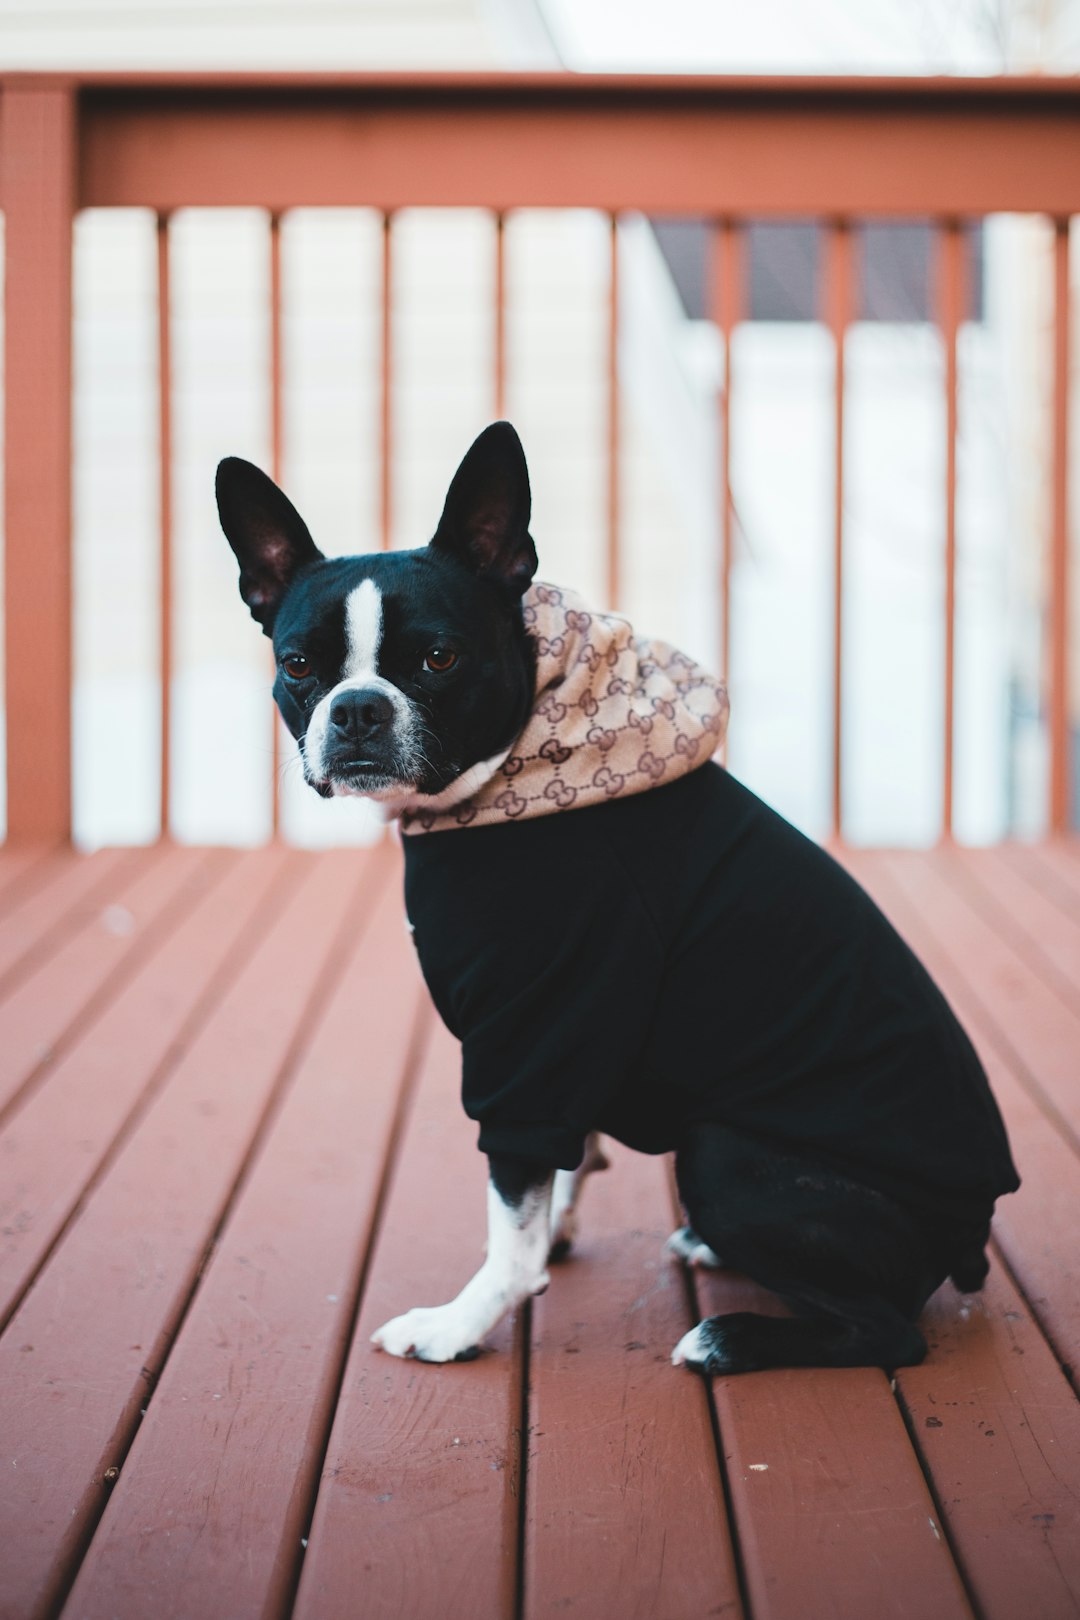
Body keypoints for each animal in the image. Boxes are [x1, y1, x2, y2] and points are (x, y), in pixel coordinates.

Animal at [215, 424, 1016, 1373]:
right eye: (299, 666)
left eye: (440, 658)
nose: (359, 710)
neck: (521, 764)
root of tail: (970, 1234)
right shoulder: (569, 1046)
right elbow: (555, 1173)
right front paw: (554, 1231)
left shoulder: (534, 1027)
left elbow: (511, 1215)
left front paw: (461, 1322)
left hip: (723, 1153)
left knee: (891, 1332)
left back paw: (725, 1337)